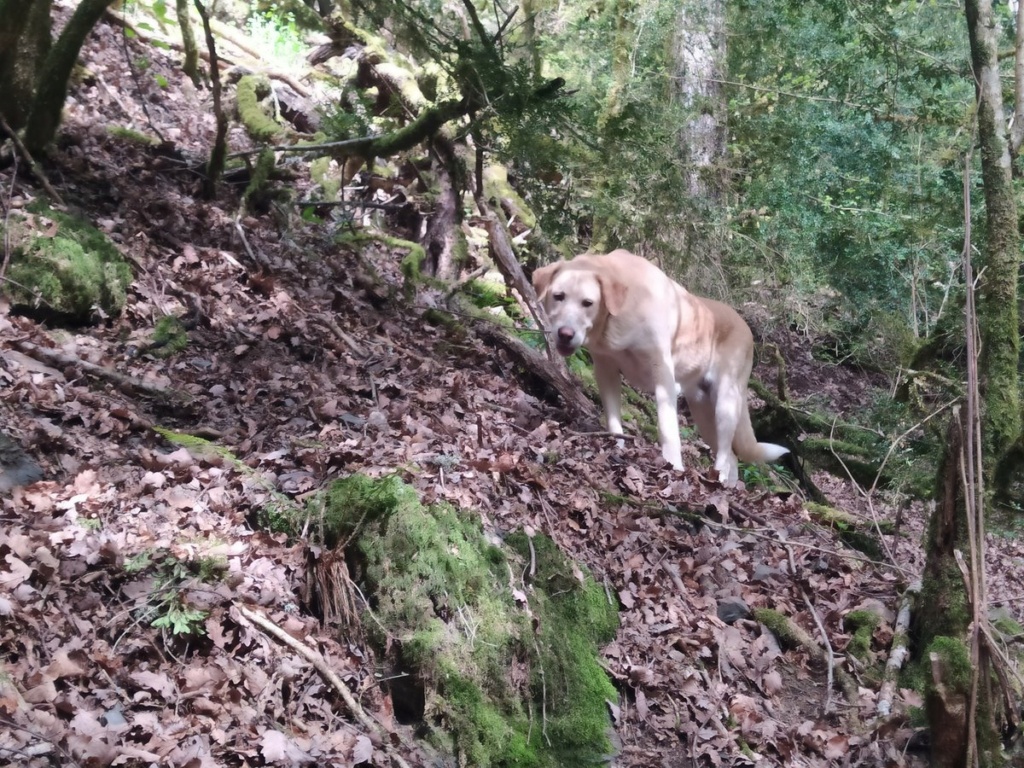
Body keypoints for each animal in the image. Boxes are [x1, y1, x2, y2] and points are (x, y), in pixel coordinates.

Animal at [532, 250, 786, 481]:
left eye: (588, 303)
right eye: (558, 296)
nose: (565, 334)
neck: (621, 310)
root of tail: (746, 327)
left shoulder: (662, 372)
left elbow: (667, 428)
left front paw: (673, 466)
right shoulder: (605, 369)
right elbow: (613, 417)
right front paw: (616, 446)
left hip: (726, 403)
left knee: (725, 453)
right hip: (703, 412)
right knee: (732, 458)